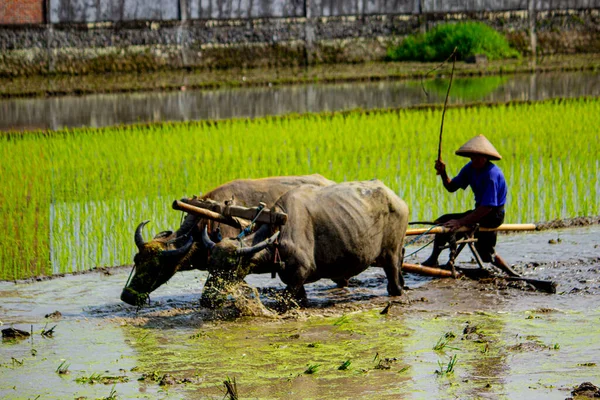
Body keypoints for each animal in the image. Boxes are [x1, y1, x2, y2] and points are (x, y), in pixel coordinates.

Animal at [200, 180, 408, 308]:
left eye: (229, 267)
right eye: (210, 265)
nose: (206, 300)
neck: (279, 230)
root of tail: (398, 200)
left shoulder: (300, 272)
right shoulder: (294, 280)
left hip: (390, 253)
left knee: (393, 278)